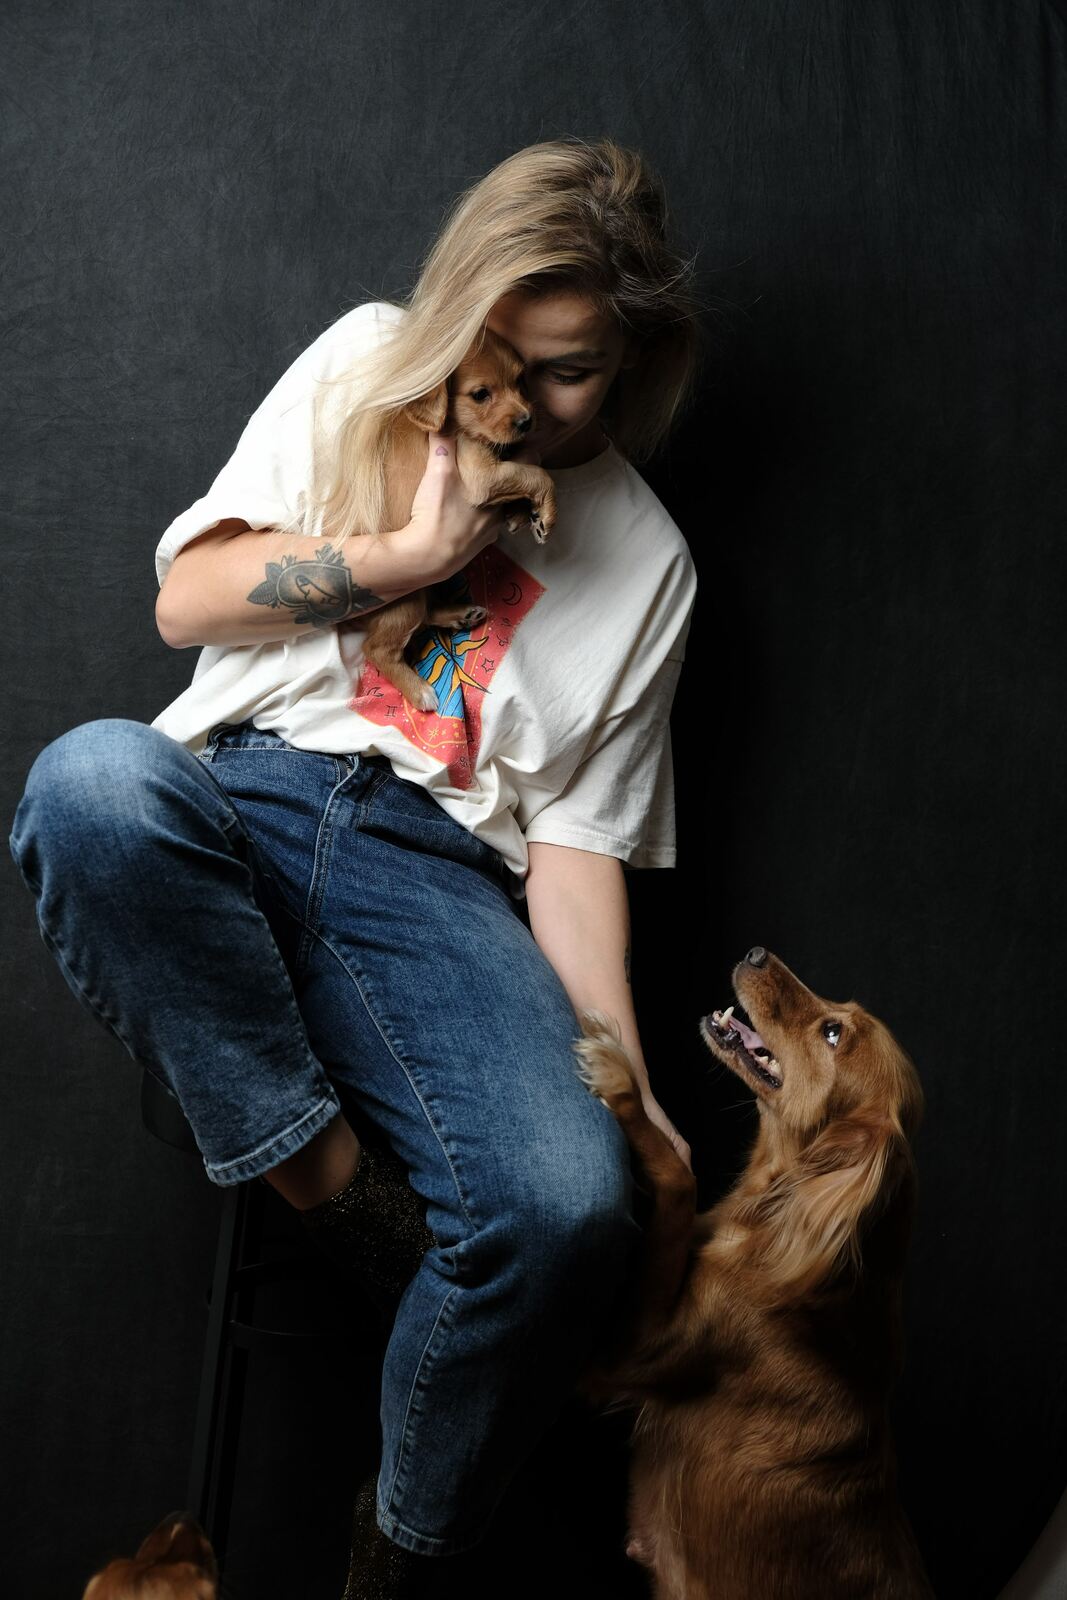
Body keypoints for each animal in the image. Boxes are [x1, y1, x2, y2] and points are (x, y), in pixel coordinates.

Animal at [354, 325, 557, 712]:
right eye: (480, 395)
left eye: (520, 381)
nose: (527, 420)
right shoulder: (479, 476)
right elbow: (537, 473)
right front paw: (547, 511)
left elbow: (523, 465)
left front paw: (521, 514)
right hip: (406, 601)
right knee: (378, 648)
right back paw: (419, 690)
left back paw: (460, 614)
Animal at [573, 946, 935, 1599]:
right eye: (840, 1012)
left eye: (833, 1033)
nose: (756, 953)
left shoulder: (625, 1354)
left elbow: (680, 1178)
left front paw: (619, 1080)